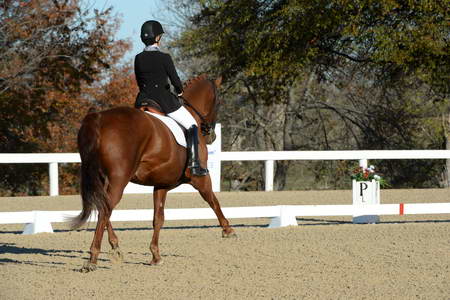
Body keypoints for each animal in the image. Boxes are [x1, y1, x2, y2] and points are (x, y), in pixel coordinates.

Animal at [70, 74, 236, 272]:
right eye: (218, 101)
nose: (211, 136)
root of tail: (98, 118)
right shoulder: (200, 179)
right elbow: (213, 201)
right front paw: (228, 230)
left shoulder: (161, 184)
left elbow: (158, 218)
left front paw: (156, 255)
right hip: (118, 180)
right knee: (105, 209)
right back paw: (92, 259)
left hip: (102, 178)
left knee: (103, 206)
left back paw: (115, 248)